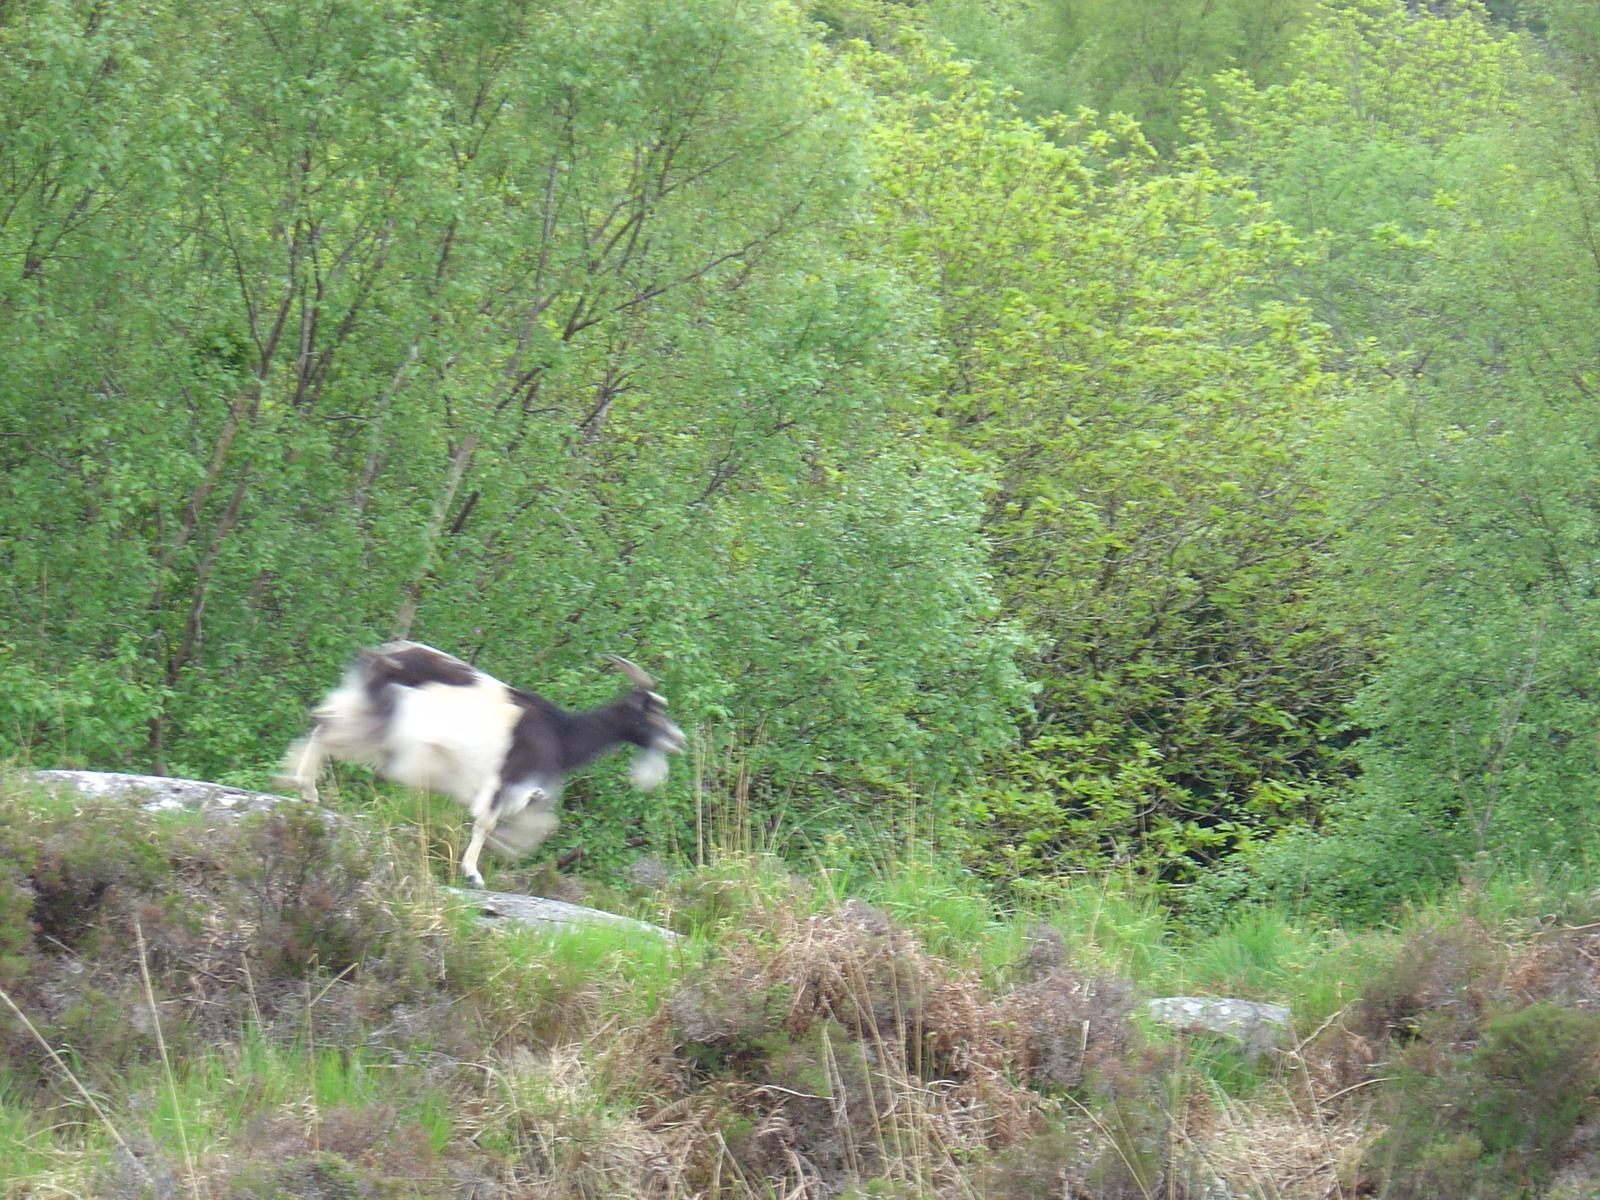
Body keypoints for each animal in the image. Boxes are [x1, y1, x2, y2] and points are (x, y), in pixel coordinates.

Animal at [284, 643, 684, 889]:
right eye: (651, 712)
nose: (678, 739)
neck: (563, 733)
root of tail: (380, 656)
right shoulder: (506, 781)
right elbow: (486, 823)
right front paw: (473, 873)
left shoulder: (530, 792)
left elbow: (542, 827)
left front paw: (504, 852)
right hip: (378, 722)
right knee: (326, 730)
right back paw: (307, 790)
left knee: (324, 728)